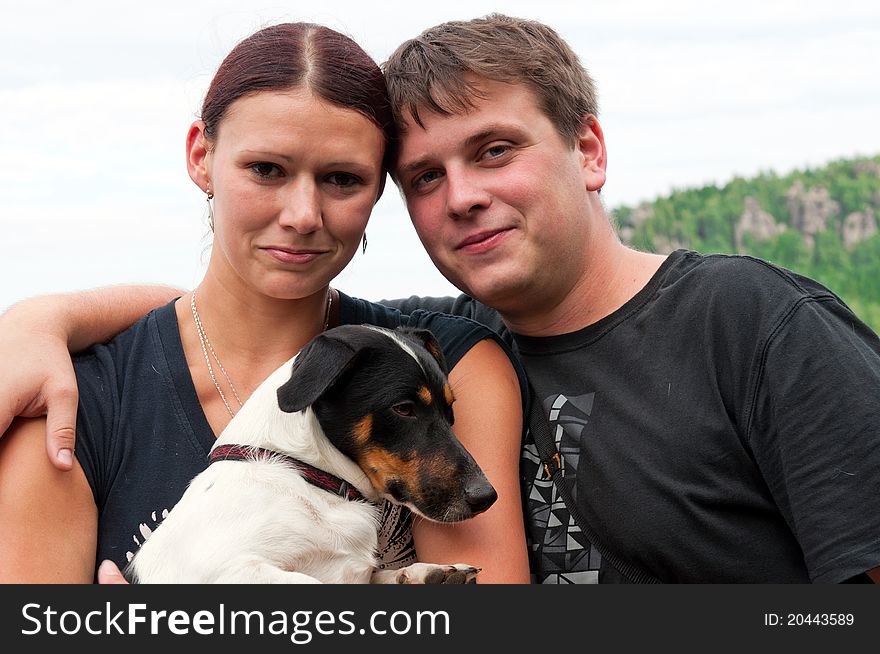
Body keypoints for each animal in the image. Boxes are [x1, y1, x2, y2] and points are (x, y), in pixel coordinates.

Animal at [124, 326, 498, 588]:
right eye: (403, 408)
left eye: (450, 409)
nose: (487, 497)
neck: (310, 477)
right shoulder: (222, 567)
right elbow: (311, 581)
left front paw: (428, 573)